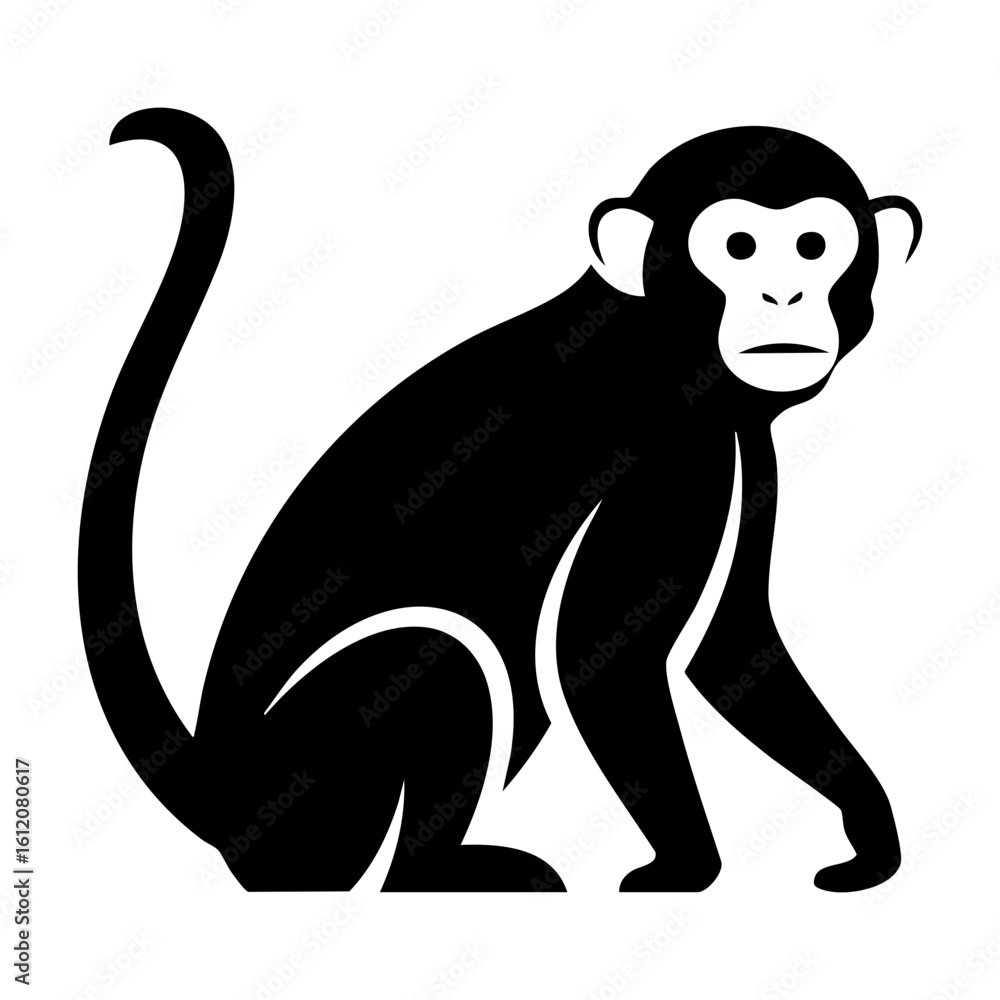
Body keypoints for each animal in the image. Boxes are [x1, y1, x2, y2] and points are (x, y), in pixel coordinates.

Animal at [80, 110, 920, 892]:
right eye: (739, 248)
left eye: (813, 245)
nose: (787, 292)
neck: (661, 342)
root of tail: (223, 792)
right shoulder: (672, 453)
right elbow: (601, 654)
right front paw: (684, 866)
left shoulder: (736, 447)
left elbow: (730, 646)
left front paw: (868, 829)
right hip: (308, 785)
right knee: (432, 657)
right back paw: (431, 874)